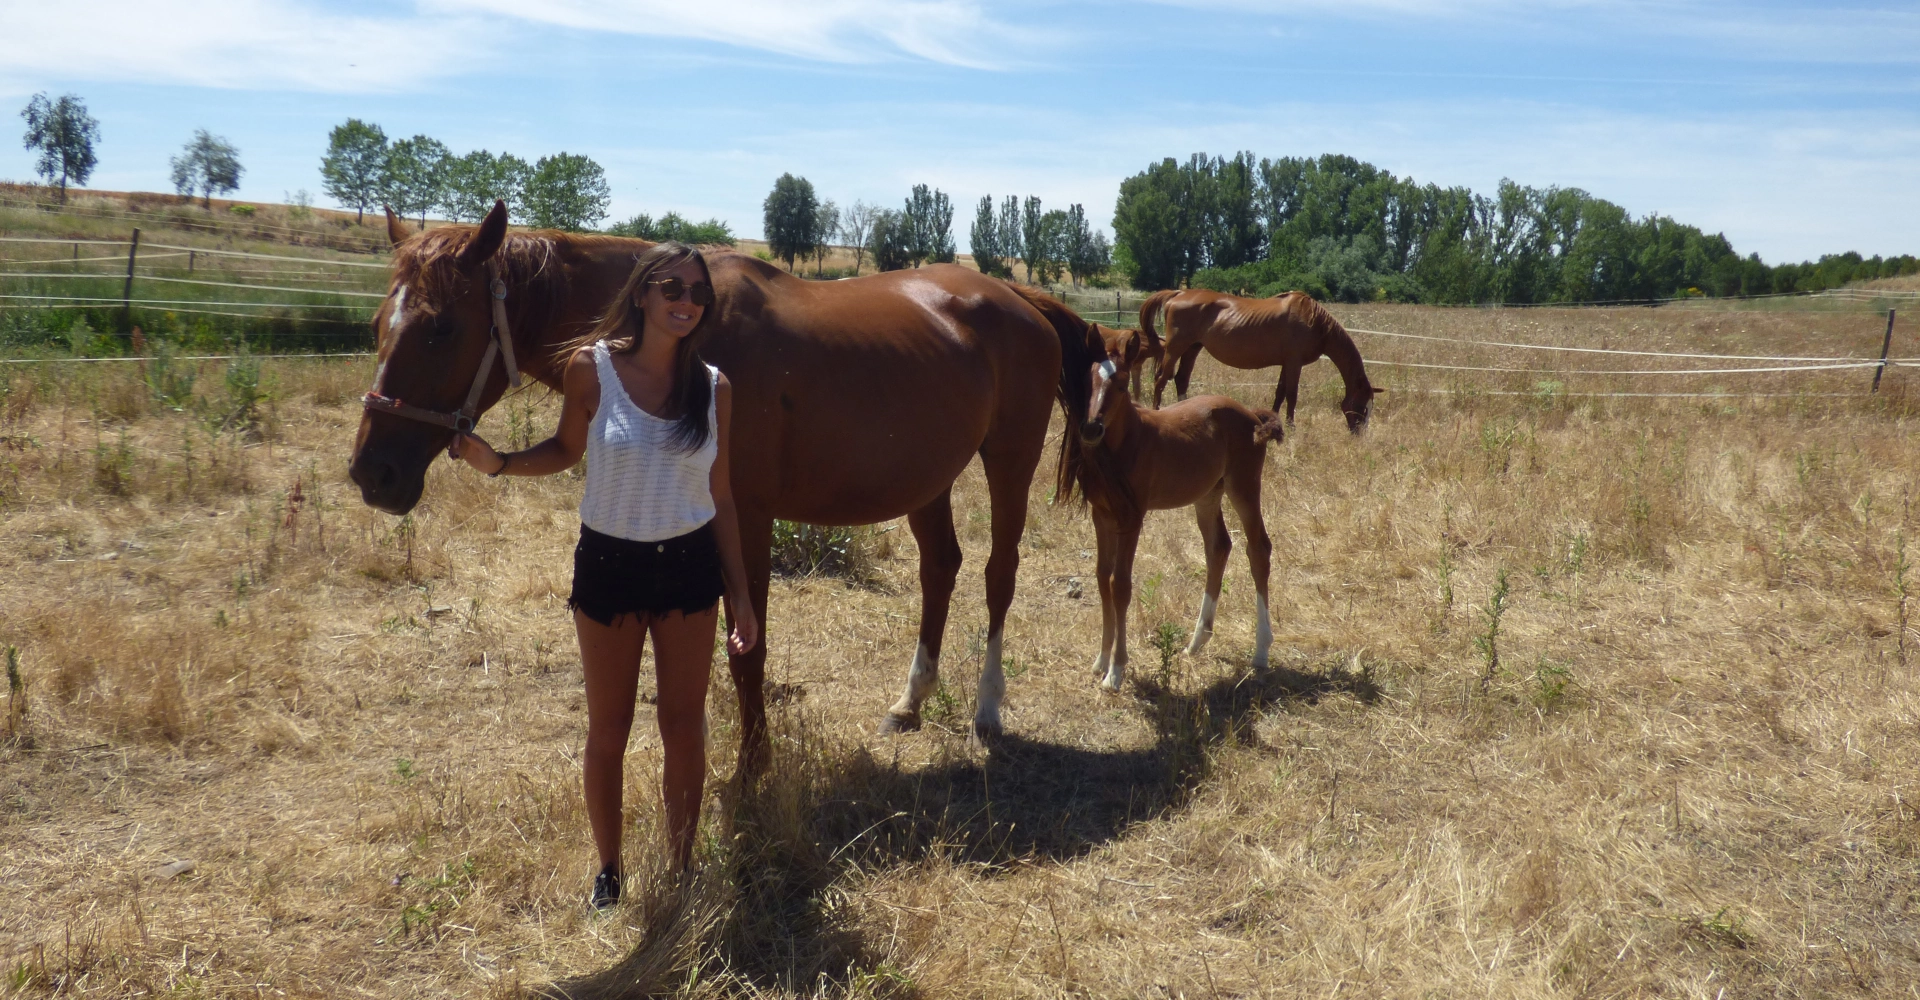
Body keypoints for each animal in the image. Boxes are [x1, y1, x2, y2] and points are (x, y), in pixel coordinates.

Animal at [347, 203, 1099, 772]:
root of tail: (1019, 299)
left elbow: (748, 649)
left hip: (1008, 461)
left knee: (999, 573)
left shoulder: (748, 518)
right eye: (378, 326)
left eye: (442, 327)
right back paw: (909, 702)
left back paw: (987, 708)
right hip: (927, 478)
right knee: (941, 568)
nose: (371, 472)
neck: (692, 337)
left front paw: (752, 765)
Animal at [1075, 324, 1280, 691]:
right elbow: (1101, 577)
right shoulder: (1102, 516)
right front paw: (1100, 660)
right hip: (1208, 494)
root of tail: (1252, 414)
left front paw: (1116, 670)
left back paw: (1261, 652)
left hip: (1243, 487)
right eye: (1089, 380)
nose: (1091, 428)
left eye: (1122, 383)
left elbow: (1120, 585)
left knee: (1258, 549)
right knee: (1219, 547)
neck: (1129, 443)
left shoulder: (1132, 518)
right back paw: (1197, 641)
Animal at [1138, 289, 1382, 432]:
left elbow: (1280, 392)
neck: (1315, 323)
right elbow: (1292, 395)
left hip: (1193, 348)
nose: (1359, 435)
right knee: (1161, 379)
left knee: (1181, 379)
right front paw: (1291, 427)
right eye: (1362, 407)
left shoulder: (1286, 363)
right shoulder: (1294, 363)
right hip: (1176, 348)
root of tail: (1178, 293)